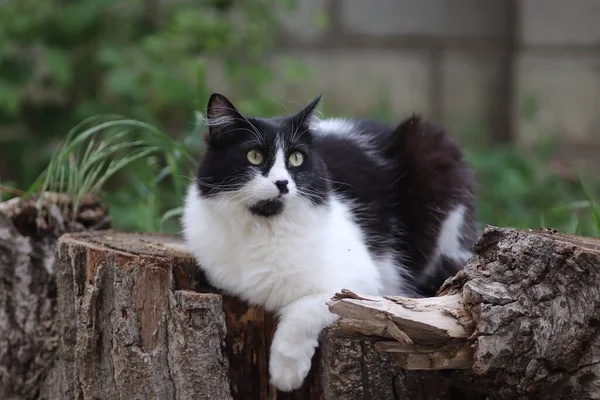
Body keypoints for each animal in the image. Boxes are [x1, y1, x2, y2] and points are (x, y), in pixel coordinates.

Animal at [180, 92, 476, 392]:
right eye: (254, 155)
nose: (283, 183)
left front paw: (286, 372)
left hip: (430, 149)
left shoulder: (361, 285)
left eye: (296, 158)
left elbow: (307, 309)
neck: (265, 228)